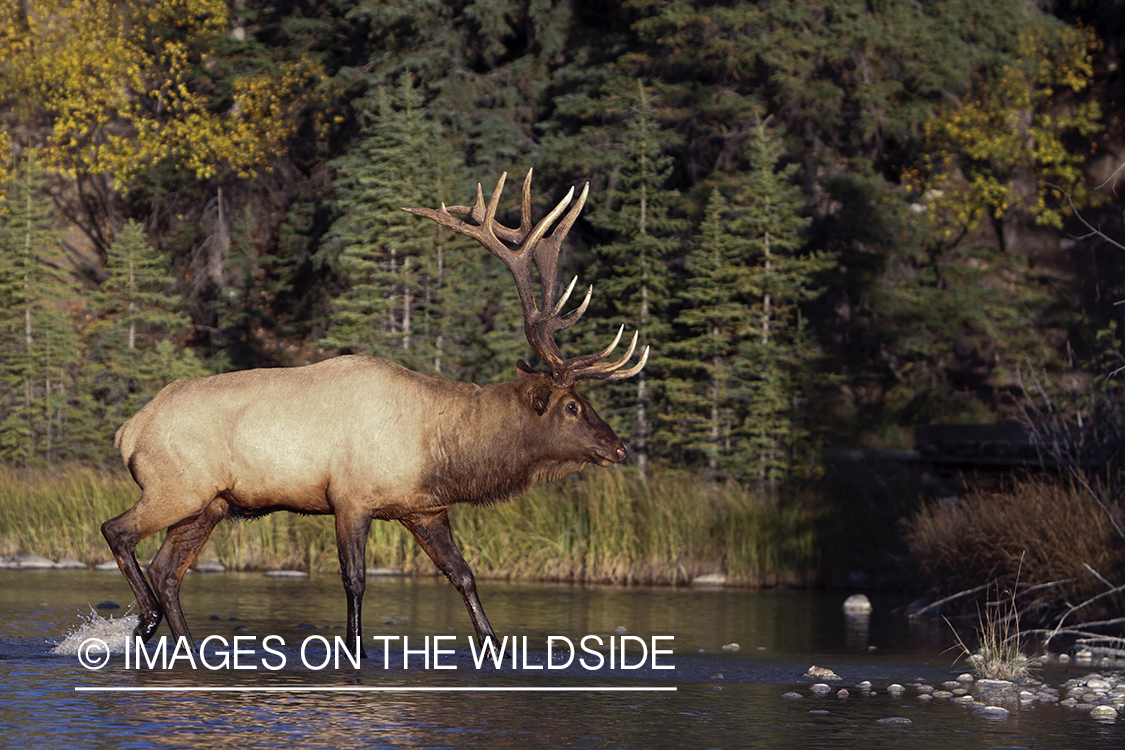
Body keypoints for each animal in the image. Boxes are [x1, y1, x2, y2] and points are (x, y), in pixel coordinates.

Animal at [107, 173, 652, 652]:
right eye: (573, 405)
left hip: (210, 504)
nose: (619, 447)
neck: (445, 450)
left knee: (166, 570)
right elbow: (355, 581)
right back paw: (145, 620)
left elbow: (464, 575)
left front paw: (495, 646)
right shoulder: (350, 498)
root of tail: (128, 430)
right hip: (175, 487)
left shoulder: (424, 509)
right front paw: (355, 651)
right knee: (118, 533)